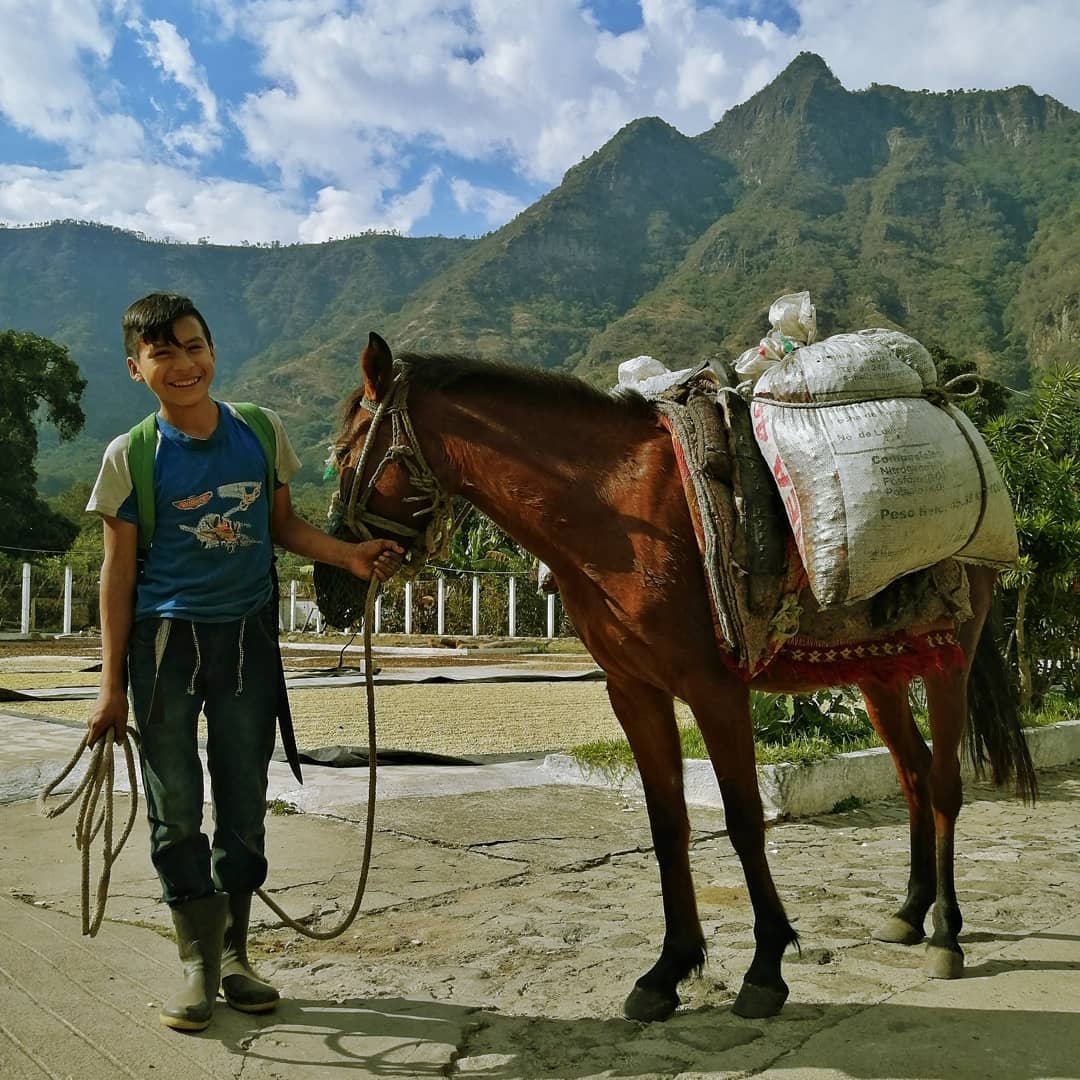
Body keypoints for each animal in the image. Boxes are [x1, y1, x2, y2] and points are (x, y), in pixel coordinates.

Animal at [328, 332, 1036, 1023]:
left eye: (343, 454)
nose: (333, 584)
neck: (613, 508)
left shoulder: (714, 689)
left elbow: (745, 819)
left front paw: (766, 966)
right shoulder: (634, 692)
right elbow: (668, 825)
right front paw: (669, 970)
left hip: (950, 662)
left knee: (942, 785)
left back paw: (945, 934)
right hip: (879, 672)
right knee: (912, 774)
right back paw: (910, 913)